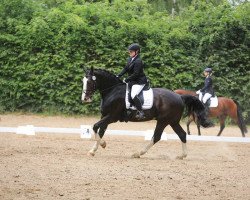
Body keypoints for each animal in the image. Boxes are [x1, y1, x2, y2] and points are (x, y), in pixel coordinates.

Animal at [82, 68, 213, 159]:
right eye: (83, 81)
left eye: (90, 82)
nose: (85, 99)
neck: (113, 91)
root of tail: (179, 96)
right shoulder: (105, 116)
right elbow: (101, 131)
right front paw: (93, 150)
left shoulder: (112, 117)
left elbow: (95, 127)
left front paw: (103, 144)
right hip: (173, 121)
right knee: (182, 134)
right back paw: (182, 156)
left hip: (163, 121)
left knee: (157, 136)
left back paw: (138, 153)